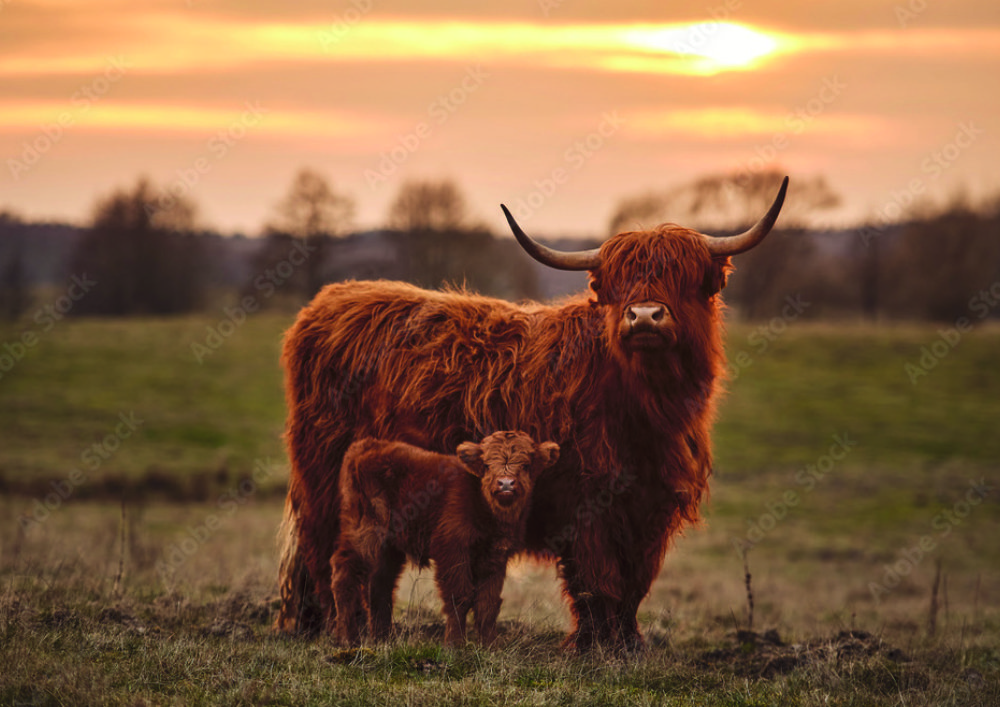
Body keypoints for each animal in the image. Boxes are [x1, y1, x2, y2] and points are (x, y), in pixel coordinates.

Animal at [332, 432, 560, 648]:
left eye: (526, 465)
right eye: (487, 465)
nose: (505, 483)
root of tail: (366, 445)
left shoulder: (495, 556)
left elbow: (487, 602)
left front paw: (490, 645)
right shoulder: (453, 550)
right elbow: (459, 597)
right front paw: (454, 644)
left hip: (389, 548)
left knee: (380, 585)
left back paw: (383, 639)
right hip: (364, 533)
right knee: (345, 574)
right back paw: (347, 639)